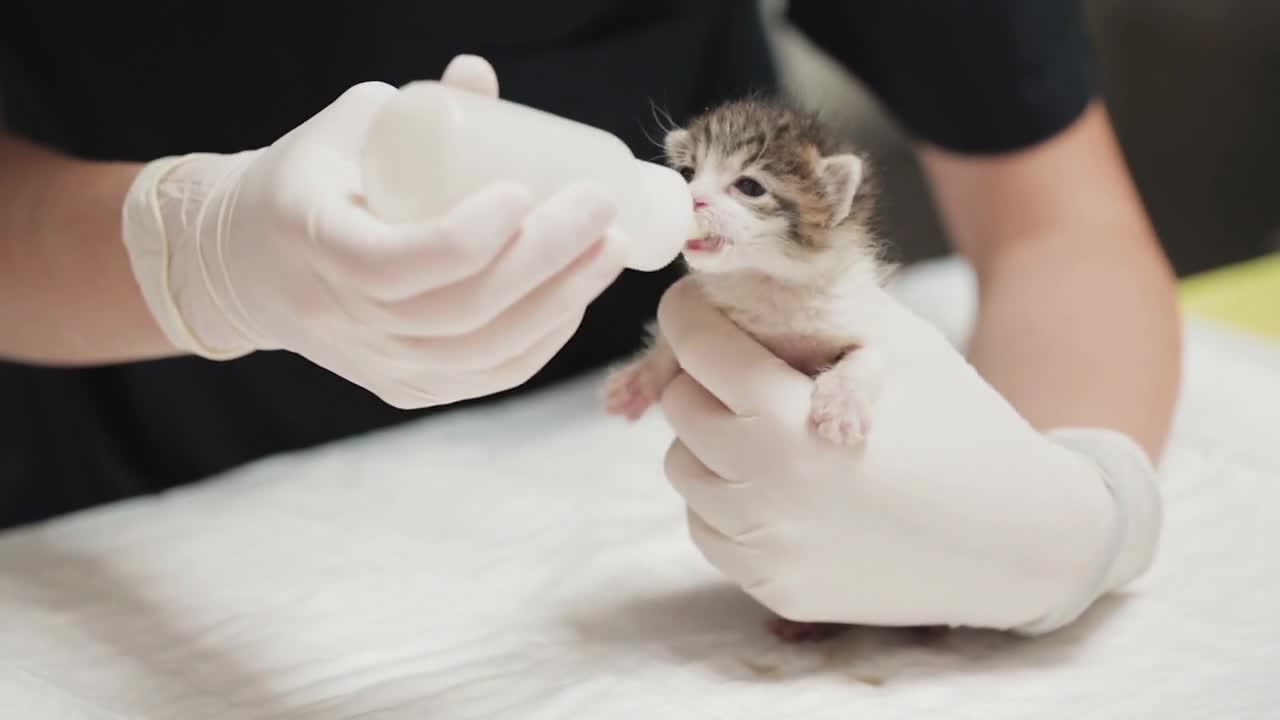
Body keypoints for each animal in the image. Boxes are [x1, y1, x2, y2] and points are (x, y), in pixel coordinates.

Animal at [604, 95, 896, 638]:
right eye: (688, 173)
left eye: (749, 186)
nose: (692, 201)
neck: (767, 284)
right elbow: (669, 356)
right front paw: (637, 381)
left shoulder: (861, 317)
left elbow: (866, 356)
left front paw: (841, 406)